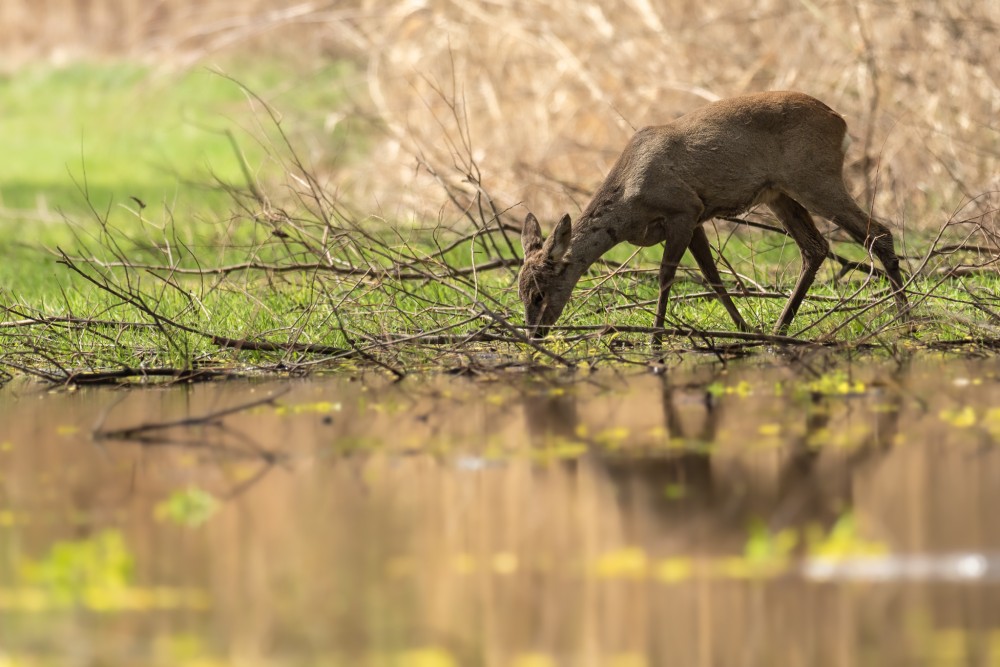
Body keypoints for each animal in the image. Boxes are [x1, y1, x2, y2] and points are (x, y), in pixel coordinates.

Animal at [520, 89, 912, 340]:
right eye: (521, 293)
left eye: (539, 294)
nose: (534, 335)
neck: (628, 205)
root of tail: (840, 122)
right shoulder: (696, 218)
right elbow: (712, 277)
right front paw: (744, 329)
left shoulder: (683, 208)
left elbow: (666, 276)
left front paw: (656, 340)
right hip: (779, 192)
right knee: (815, 248)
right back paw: (780, 329)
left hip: (814, 177)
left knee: (878, 232)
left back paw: (907, 321)